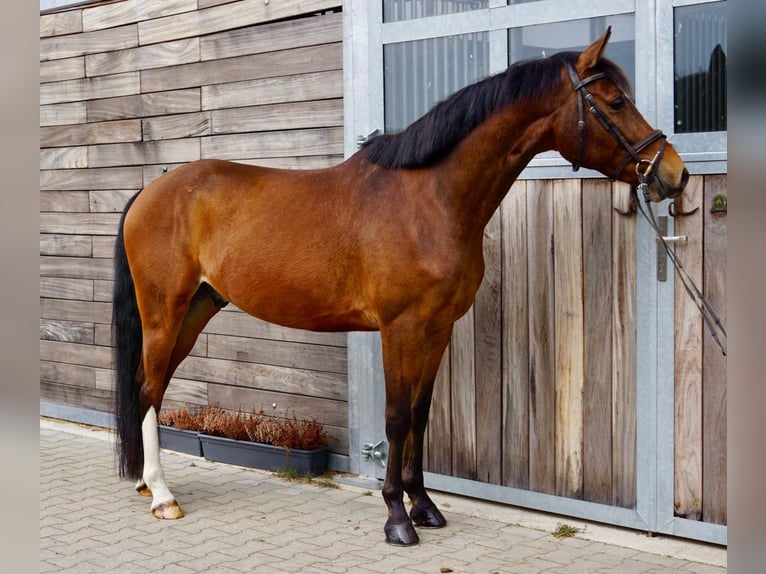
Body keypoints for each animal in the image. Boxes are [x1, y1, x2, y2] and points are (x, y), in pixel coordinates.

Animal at [112, 28, 688, 547]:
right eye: (615, 102)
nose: (674, 175)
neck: (429, 200)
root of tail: (150, 190)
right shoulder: (399, 329)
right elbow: (395, 418)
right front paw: (396, 518)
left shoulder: (437, 329)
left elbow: (421, 416)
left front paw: (424, 505)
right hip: (165, 312)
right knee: (149, 388)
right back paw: (162, 495)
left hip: (196, 310)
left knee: (149, 384)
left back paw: (146, 484)